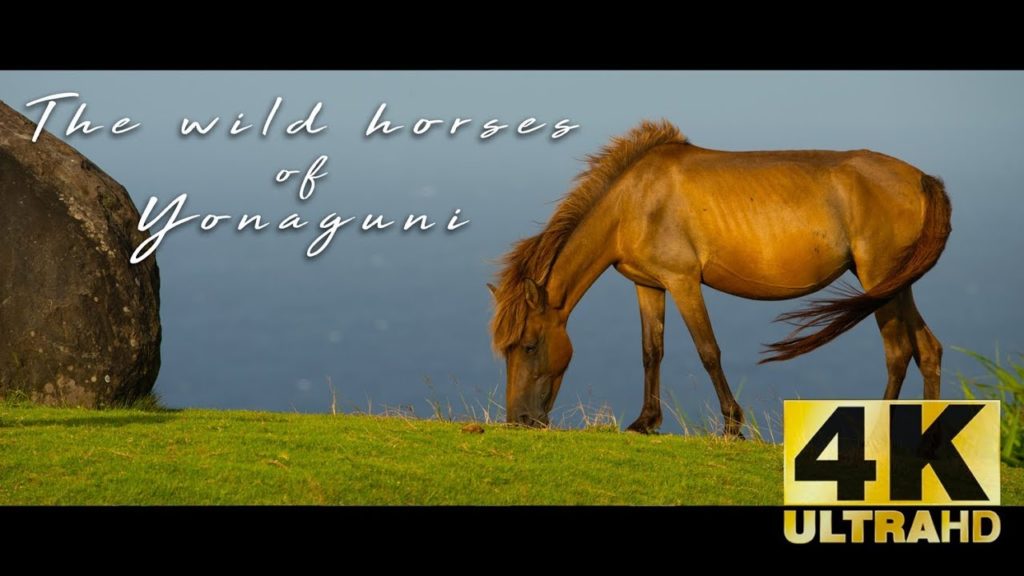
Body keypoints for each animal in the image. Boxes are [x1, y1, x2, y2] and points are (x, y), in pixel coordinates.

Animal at [488, 120, 952, 436]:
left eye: (529, 345)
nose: (520, 420)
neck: (633, 201)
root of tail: (920, 178)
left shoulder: (683, 281)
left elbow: (708, 351)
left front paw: (731, 425)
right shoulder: (648, 285)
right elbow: (651, 351)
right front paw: (645, 422)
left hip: (878, 278)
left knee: (897, 351)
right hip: (896, 282)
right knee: (926, 349)